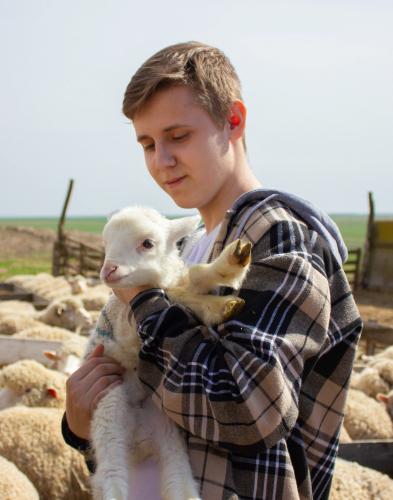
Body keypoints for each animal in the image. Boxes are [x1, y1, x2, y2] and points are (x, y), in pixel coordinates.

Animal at [86, 206, 251, 500]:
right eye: (105, 243)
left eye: (147, 243)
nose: (108, 271)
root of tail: (138, 440)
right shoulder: (126, 324)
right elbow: (178, 293)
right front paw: (219, 302)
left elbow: (191, 279)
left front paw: (227, 278)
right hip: (109, 409)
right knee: (110, 472)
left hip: (166, 430)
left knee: (178, 478)